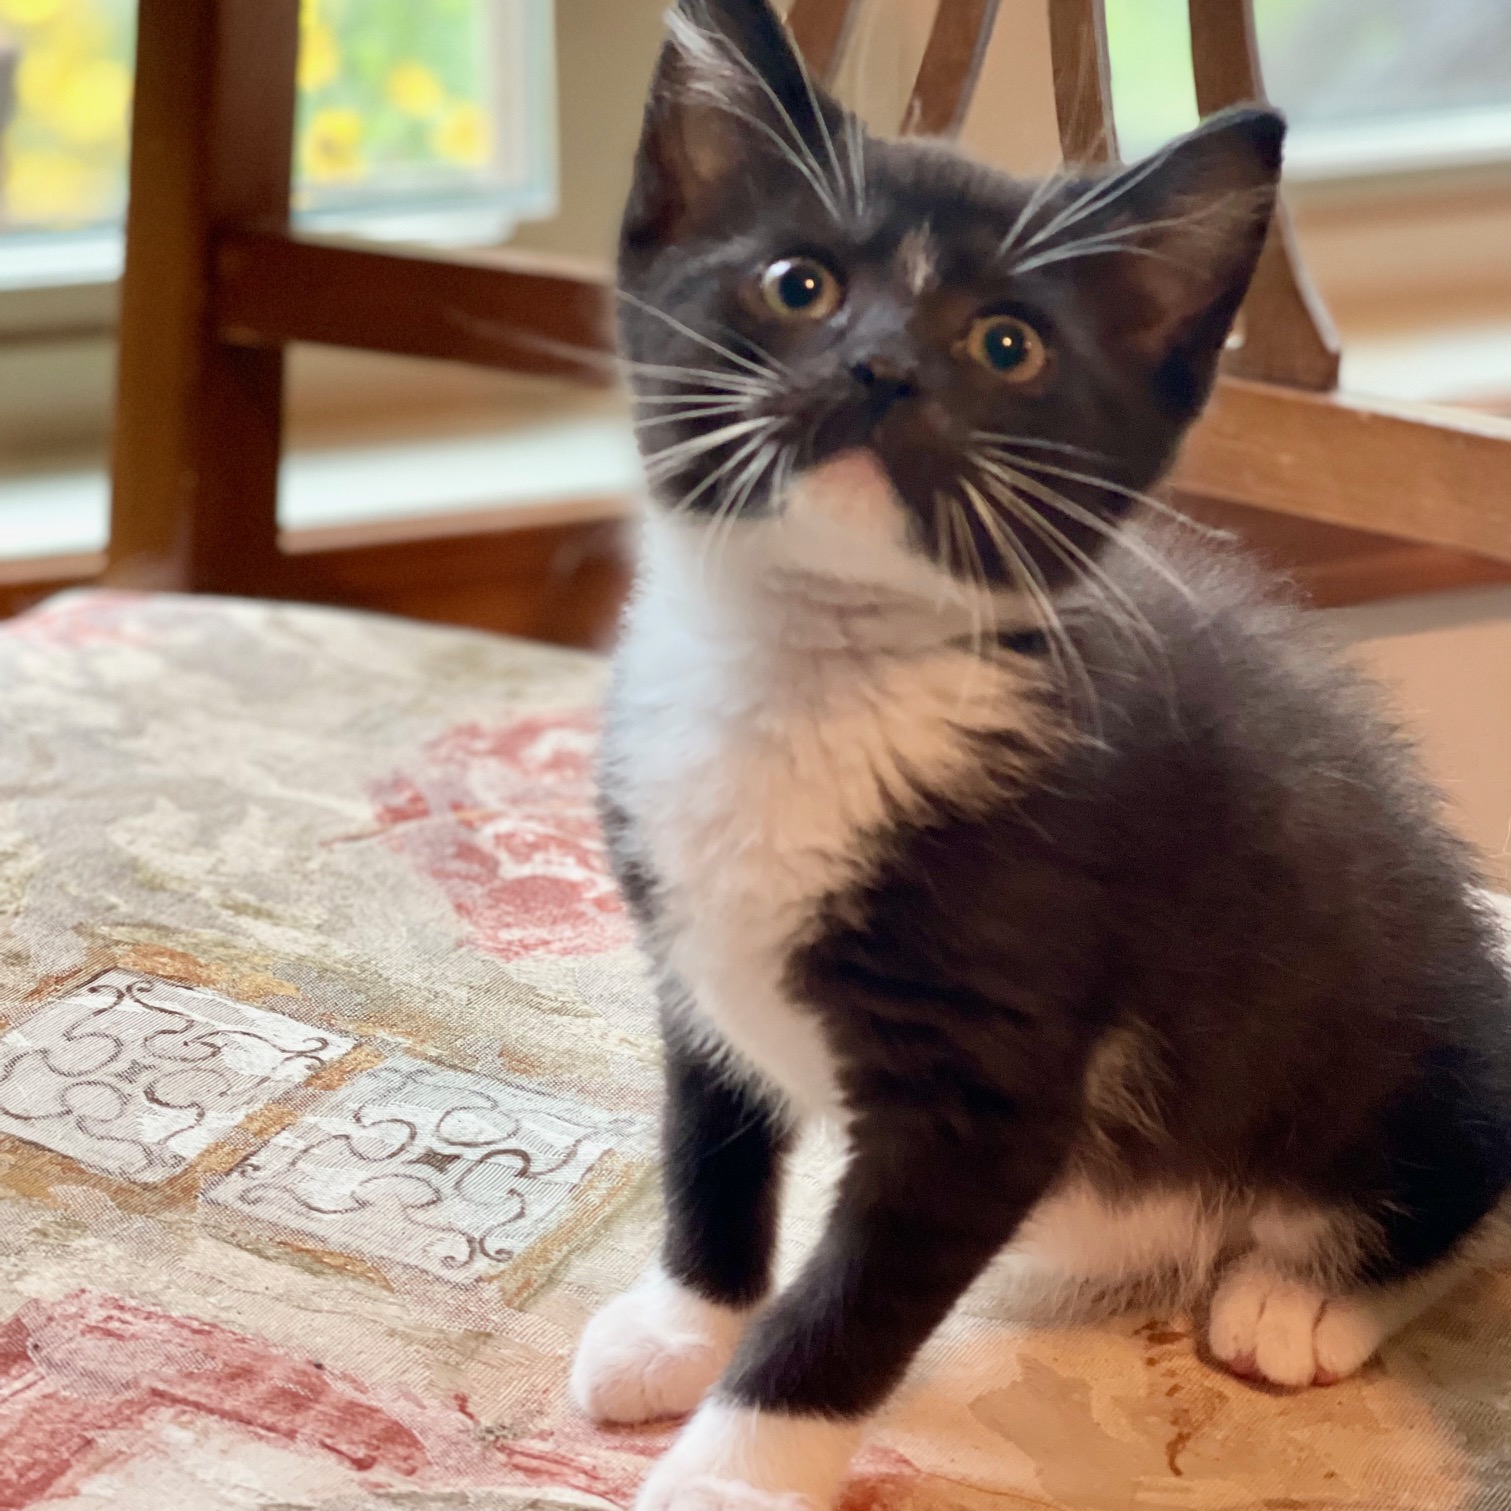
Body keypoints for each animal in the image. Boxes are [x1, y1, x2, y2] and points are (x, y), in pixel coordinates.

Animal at [568, 3, 1511, 1508]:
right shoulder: (686, 955)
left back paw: (1307, 1290)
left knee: (1468, 1169)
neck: (814, 677)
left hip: (1395, 1037)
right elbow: (707, 1149)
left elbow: (850, 1299)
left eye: (1005, 344)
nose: (880, 365)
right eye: (795, 284)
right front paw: (682, 1323)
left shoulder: (991, 1076)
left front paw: (736, 1468)